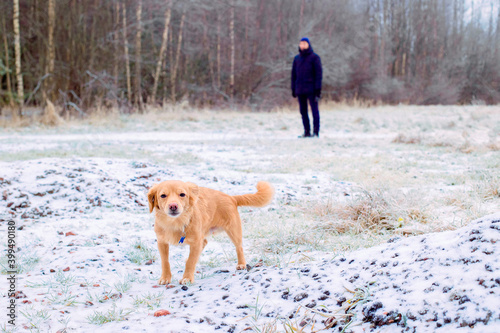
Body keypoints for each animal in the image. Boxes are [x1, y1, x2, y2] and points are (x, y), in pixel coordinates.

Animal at [146, 180, 276, 284]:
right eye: (163, 195)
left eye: (182, 194)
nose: (173, 206)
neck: (175, 223)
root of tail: (231, 197)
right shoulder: (162, 242)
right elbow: (165, 262)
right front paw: (165, 278)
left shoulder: (195, 243)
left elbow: (191, 262)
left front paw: (187, 278)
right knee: (204, 243)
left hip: (234, 231)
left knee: (239, 247)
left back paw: (241, 264)